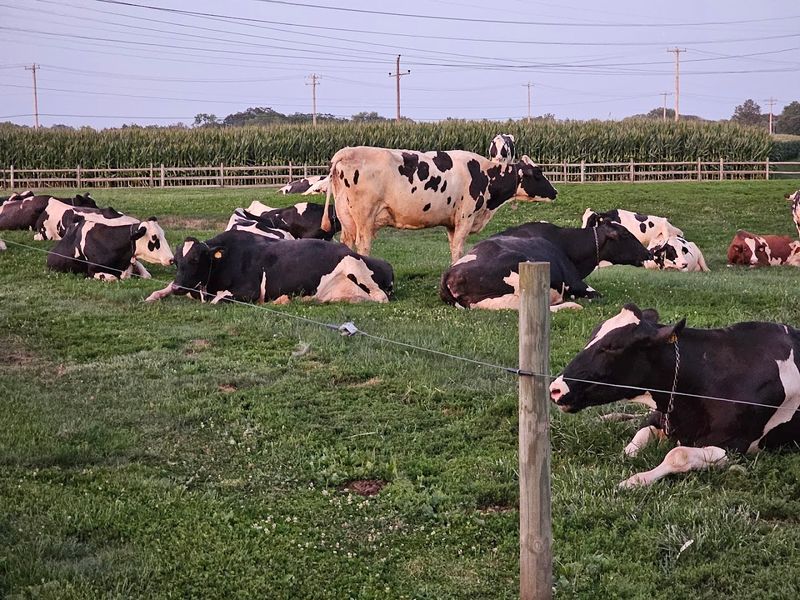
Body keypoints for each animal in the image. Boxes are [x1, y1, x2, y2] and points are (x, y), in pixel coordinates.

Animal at [144, 231, 393, 305]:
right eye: (177, 261)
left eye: (196, 260)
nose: (178, 287)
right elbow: (159, 290)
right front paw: (152, 296)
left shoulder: (249, 291)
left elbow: (217, 301)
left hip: (354, 266)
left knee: (380, 297)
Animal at [320, 146, 558, 262]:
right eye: (538, 173)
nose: (555, 192)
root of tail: (346, 151)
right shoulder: (465, 217)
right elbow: (459, 248)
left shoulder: (451, 223)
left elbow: (453, 247)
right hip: (364, 216)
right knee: (363, 245)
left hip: (346, 216)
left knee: (347, 243)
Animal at [549, 303, 800, 488]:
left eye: (612, 347)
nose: (556, 388)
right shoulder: (661, 416)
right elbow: (635, 440)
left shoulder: (734, 445)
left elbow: (677, 454)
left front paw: (634, 481)